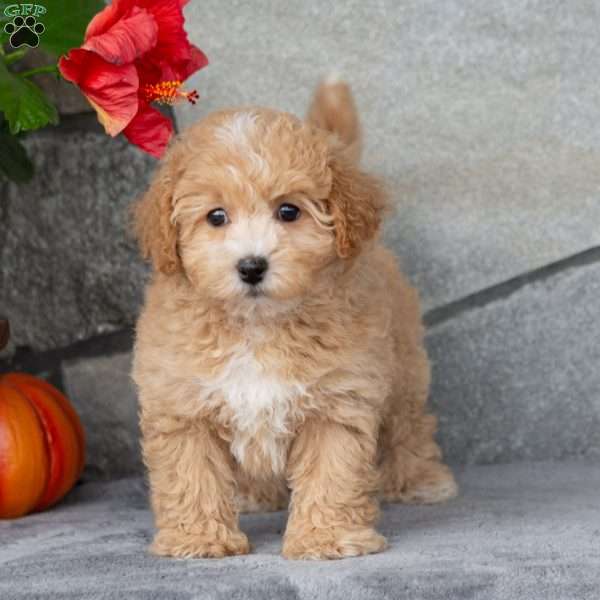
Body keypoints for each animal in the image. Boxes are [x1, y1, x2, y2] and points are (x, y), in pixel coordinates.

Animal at [134, 77, 458, 560]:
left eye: (289, 211)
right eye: (216, 217)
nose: (251, 266)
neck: (258, 324)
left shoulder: (337, 400)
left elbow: (332, 472)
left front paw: (327, 538)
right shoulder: (184, 404)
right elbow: (192, 474)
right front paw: (200, 539)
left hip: (404, 370)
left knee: (409, 426)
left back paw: (421, 481)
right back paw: (253, 496)